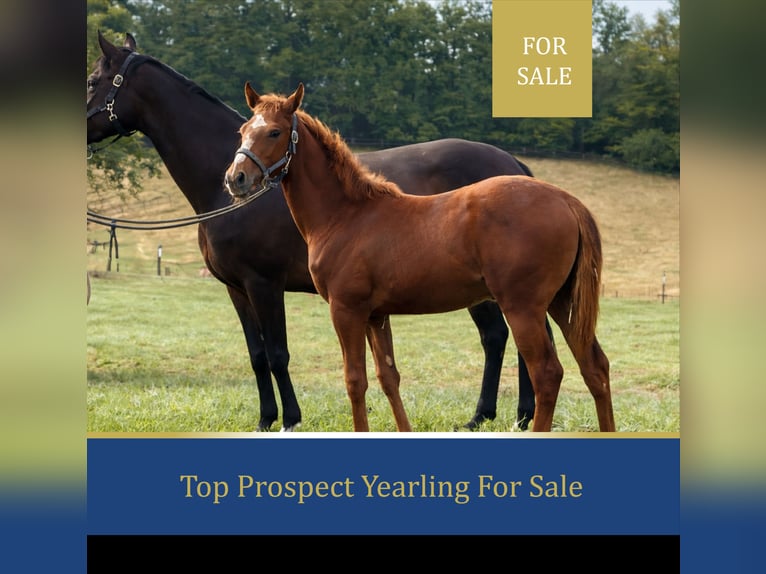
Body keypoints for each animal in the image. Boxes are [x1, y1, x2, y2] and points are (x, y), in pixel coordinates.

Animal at [87, 32, 553, 431]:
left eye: (92, 80)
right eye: (243, 133)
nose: (236, 179)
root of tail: (514, 165)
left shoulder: (264, 284)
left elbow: (278, 354)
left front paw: (290, 419)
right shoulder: (236, 289)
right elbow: (257, 356)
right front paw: (265, 419)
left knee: (506, 337)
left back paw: (504, 416)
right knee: (505, 337)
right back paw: (504, 416)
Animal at [224, 83, 616, 433]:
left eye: (274, 132)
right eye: (242, 131)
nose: (235, 178)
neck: (347, 215)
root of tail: (566, 200)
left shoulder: (346, 310)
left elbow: (355, 380)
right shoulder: (376, 315)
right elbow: (388, 376)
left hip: (523, 307)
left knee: (547, 372)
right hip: (562, 303)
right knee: (595, 367)